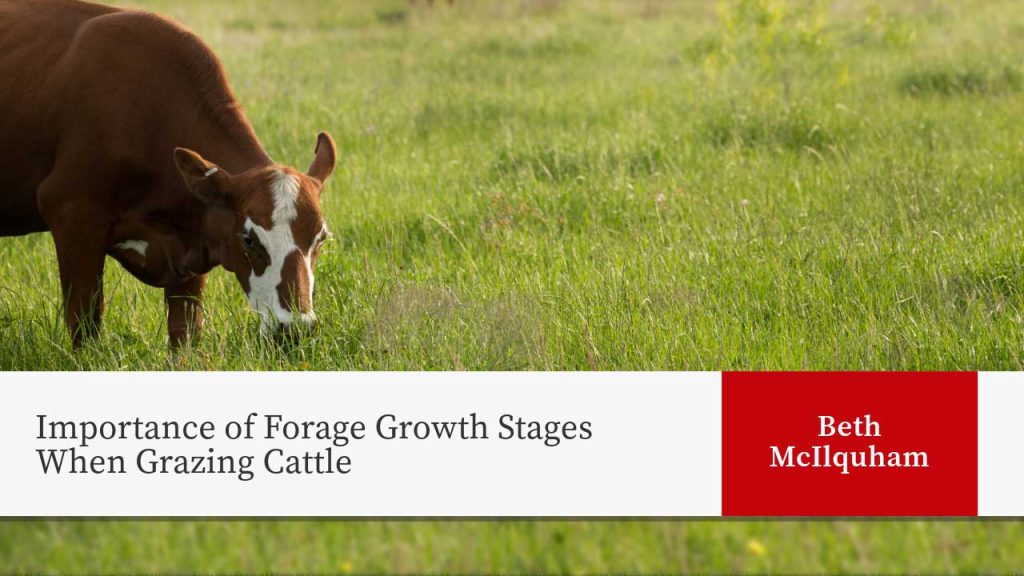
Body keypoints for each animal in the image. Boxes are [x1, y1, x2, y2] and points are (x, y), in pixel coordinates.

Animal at [0, 0, 335, 344]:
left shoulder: (191, 251)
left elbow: (185, 334)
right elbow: (85, 325)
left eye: (320, 238)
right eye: (249, 239)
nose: (295, 328)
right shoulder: (72, 215)